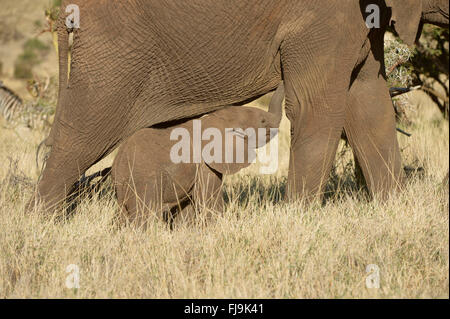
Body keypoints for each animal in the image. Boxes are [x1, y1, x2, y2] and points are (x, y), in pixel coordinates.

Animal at [30, 0, 446, 212]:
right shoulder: (322, 19)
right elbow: (317, 107)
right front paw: (299, 222)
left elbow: (370, 103)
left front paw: (394, 211)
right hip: (115, 52)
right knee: (81, 136)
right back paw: (43, 224)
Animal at [110, 83, 284, 228]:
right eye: (263, 121)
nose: (281, 80)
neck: (213, 120)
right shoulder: (204, 165)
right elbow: (209, 200)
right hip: (145, 178)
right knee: (145, 214)